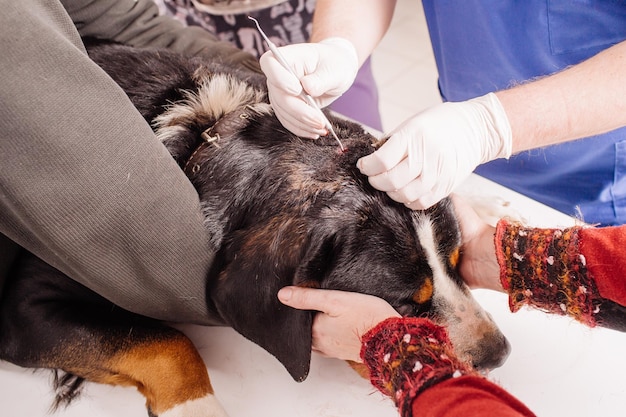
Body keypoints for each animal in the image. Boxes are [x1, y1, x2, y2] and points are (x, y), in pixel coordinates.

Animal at [0, 41, 510, 416]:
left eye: (458, 264)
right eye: (406, 303)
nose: (498, 354)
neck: (202, 138)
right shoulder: (26, 305)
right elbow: (168, 344)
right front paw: (198, 409)